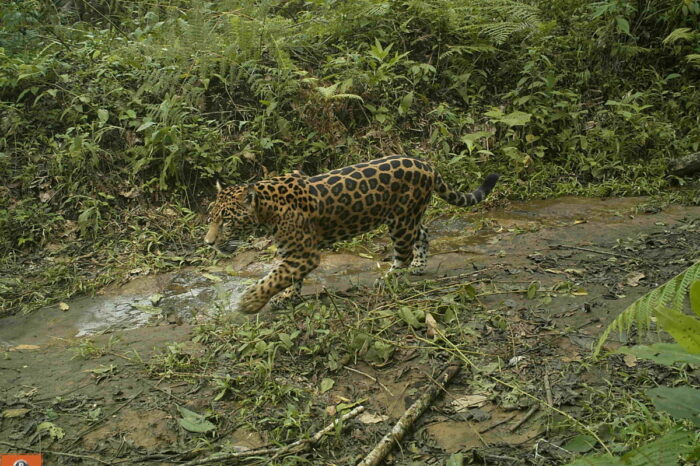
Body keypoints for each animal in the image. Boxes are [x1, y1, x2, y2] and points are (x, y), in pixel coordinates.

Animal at [205, 155, 499, 314]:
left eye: (227, 221)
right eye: (212, 218)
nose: (209, 242)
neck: (267, 210)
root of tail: (426, 164)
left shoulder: (305, 254)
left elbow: (274, 277)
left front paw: (251, 302)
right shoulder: (293, 253)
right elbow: (288, 277)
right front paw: (289, 297)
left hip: (400, 220)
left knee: (403, 252)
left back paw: (390, 278)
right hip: (409, 216)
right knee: (423, 233)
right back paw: (418, 265)